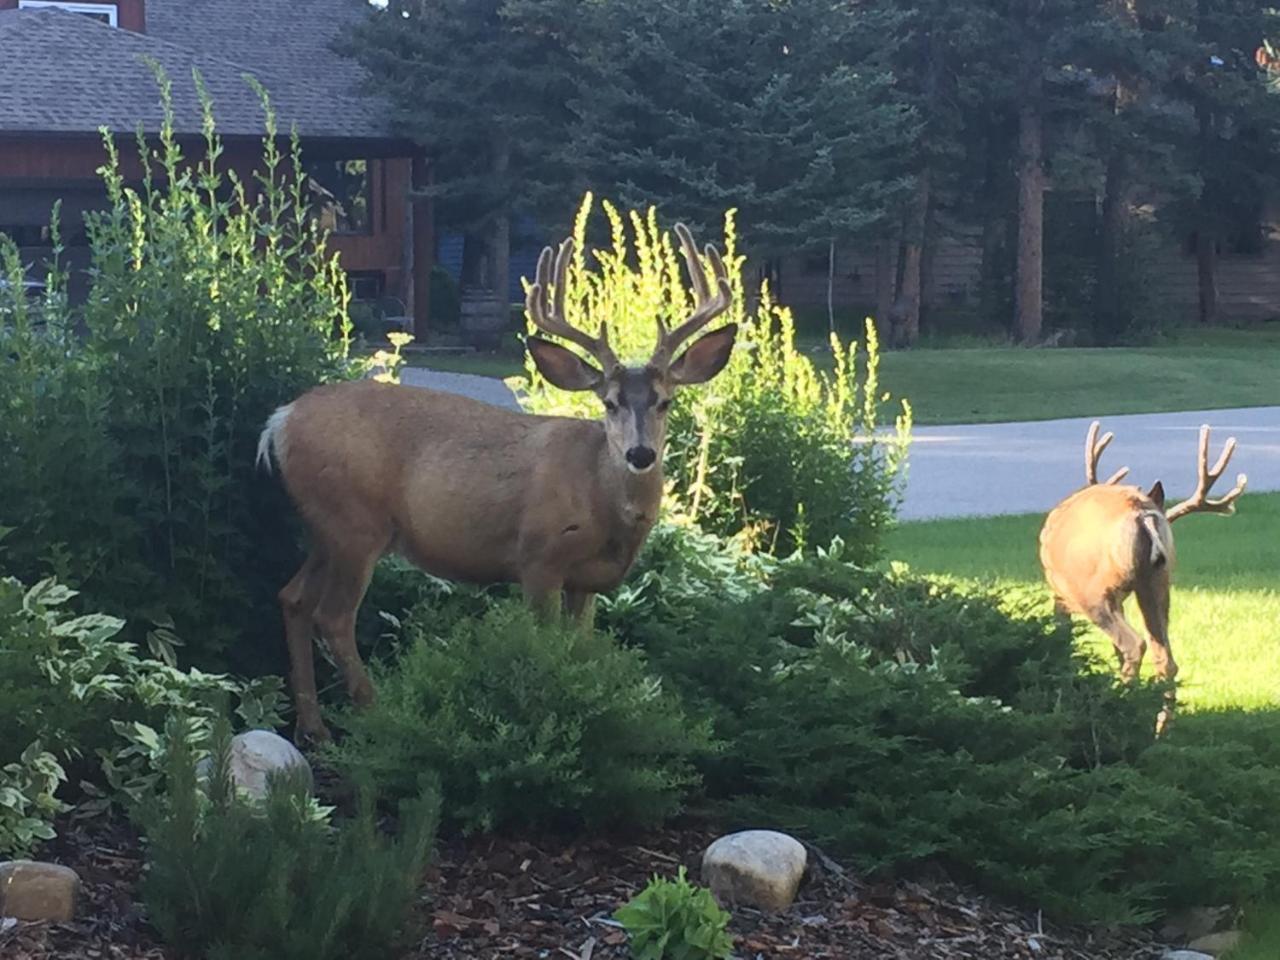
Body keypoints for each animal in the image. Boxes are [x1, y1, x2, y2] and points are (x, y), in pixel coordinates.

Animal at [257, 225, 742, 742]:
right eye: (609, 403)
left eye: (666, 401)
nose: (640, 454)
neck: (603, 505)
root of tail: (280, 421)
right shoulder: (539, 556)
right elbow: (545, 646)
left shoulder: (585, 581)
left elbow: (582, 650)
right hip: (355, 522)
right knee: (333, 616)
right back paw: (377, 715)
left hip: (326, 526)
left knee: (293, 598)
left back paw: (314, 729)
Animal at [1034, 419, 1244, 721]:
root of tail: (1143, 514)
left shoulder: (1059, 590)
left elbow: (1064, 641)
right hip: (1157, 582)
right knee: (1164, 657)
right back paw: (1159, 724)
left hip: (1092, 592)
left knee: (1134, 644)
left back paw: (1120, 703)